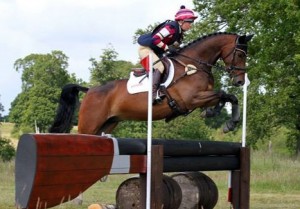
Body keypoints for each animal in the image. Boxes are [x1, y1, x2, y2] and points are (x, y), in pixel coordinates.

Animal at [48, 31, 253, 135]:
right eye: (240, 54)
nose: (240, 81)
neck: (193, 65)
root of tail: (89, 90)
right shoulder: (191, 99)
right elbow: (225, 94)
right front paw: (230, 123)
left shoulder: (202, 97)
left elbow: (226, 97)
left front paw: (220, 117)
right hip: (89, 126)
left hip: (108, 124)